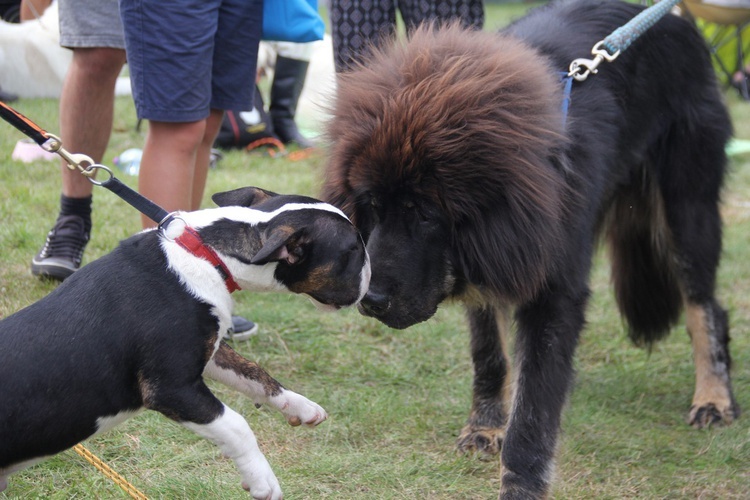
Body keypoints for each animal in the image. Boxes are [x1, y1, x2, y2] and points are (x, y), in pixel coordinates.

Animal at [0, 188, 374, 500]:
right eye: (353, 250)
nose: (373, 281)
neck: (209, 254)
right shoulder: (171, 388)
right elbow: (237, 425)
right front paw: (262, 482)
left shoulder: (212, 351)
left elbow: (255, 374)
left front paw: (301, 407)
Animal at [324, 0, 740, 496]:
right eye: (370, 206)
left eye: (424, 214)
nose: (369, 300)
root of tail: (677, 21)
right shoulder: (489, 261)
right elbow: (490, 355)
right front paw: (485, 426)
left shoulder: (550, 288)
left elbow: (535, 409)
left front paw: (521, 482)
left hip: (685, 211)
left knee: (704, 306)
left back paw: (714, 397)